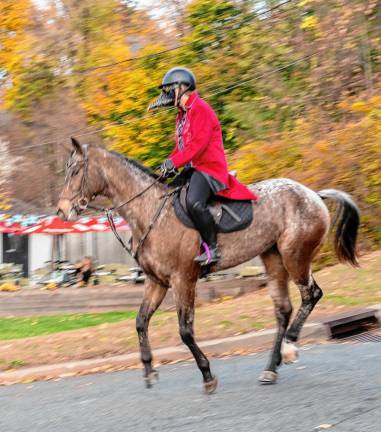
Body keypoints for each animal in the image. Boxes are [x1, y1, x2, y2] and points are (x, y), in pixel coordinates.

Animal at [57, 137, 360, 394]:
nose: (62, 211)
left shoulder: (183, 279)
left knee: (311, 294)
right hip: (273, 258)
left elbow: (185, 331)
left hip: (295, 256)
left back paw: (289, 347)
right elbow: (141, 322)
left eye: (75, 171)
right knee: (283, 310)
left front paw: (207, 375)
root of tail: (313, 194)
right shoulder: (157, 283)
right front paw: (149, 370)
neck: (152, 212)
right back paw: (271, 369)